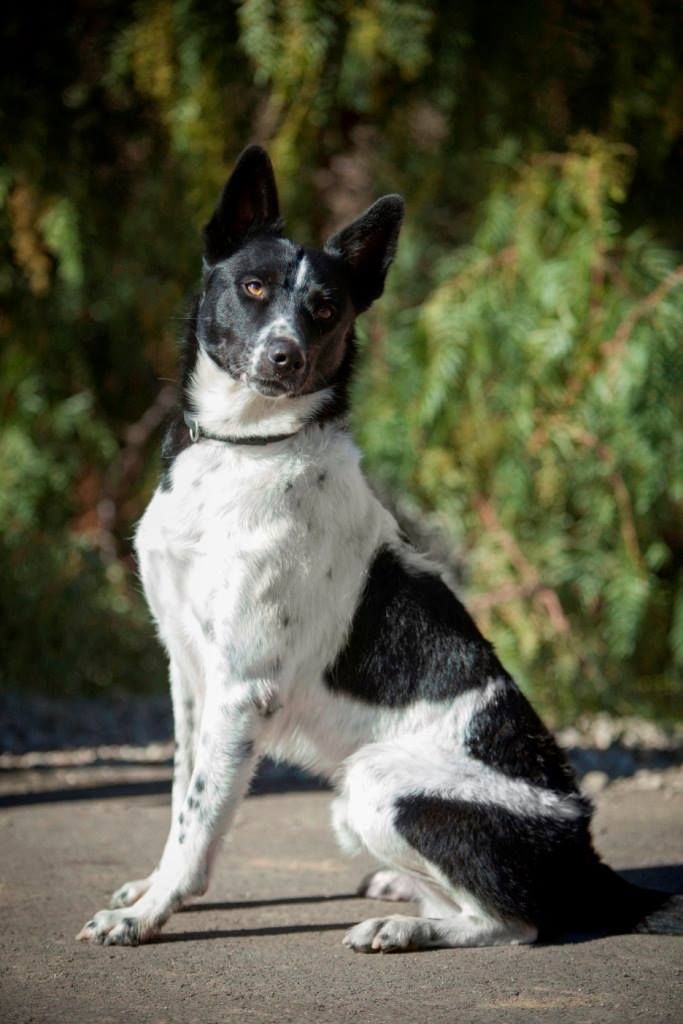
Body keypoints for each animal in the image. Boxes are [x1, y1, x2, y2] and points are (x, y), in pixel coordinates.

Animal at [77, 146, 679, 950]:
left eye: (325, 310)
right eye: (253, 287)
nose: (285, 358)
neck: (249, 449)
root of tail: (585, 860)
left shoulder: (239, 689)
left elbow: (202, 815)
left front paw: (147, 915)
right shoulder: (188, 673)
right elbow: (180, 799)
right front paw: (150, 888)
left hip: (376, 785)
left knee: (512, 924)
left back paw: (403, 929)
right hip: (350, 800)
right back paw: (403, 893)